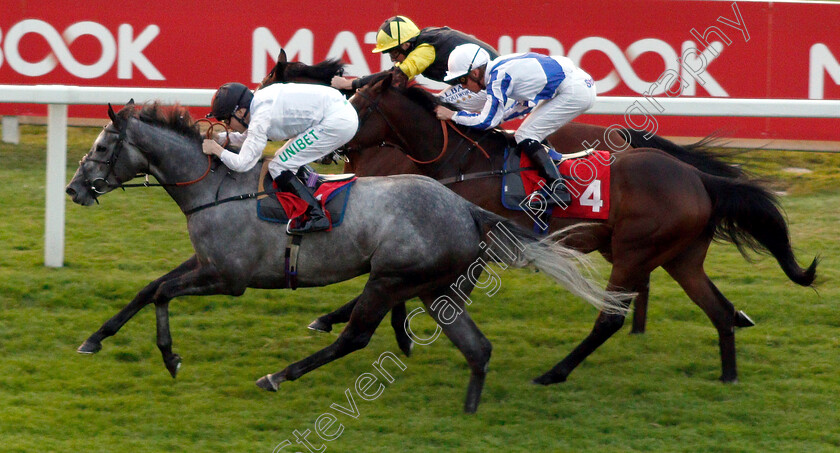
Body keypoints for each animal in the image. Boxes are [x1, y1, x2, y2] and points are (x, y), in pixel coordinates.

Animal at [64, 100, 632, 412]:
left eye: (101, 149)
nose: (73, 190)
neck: (216, 189)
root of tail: (465, 207)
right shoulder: (204, 262)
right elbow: (148, 288)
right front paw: (95, 339)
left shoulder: (228, 276)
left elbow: (163, 292)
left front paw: (169, 356)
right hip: (434, 288)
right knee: (477, 346)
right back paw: (470, 406)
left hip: (390, 279)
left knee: (355, 337)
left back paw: (279, 375)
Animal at [326, 72, 812, 384]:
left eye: (360, 106)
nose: (332, 144)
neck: (461, 162)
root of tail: (699, 179)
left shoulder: (477, 247)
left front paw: (342, 320)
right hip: (681, 258)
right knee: (720, 310)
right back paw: (729, 377)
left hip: (636, 251)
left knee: (610, 318)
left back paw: (555, 373)